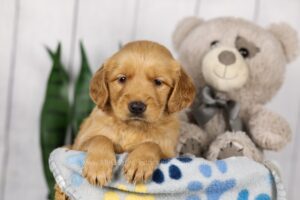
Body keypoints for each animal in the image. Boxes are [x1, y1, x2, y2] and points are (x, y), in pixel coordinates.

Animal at [54, 40, 195, 198]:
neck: (132, 128)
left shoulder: (170, 154)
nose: (137, 107)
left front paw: (139, 163)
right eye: (122, 78)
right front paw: (98, 167)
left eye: (158, 82)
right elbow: (100, 138)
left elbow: (152, 144)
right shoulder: (78, 145)